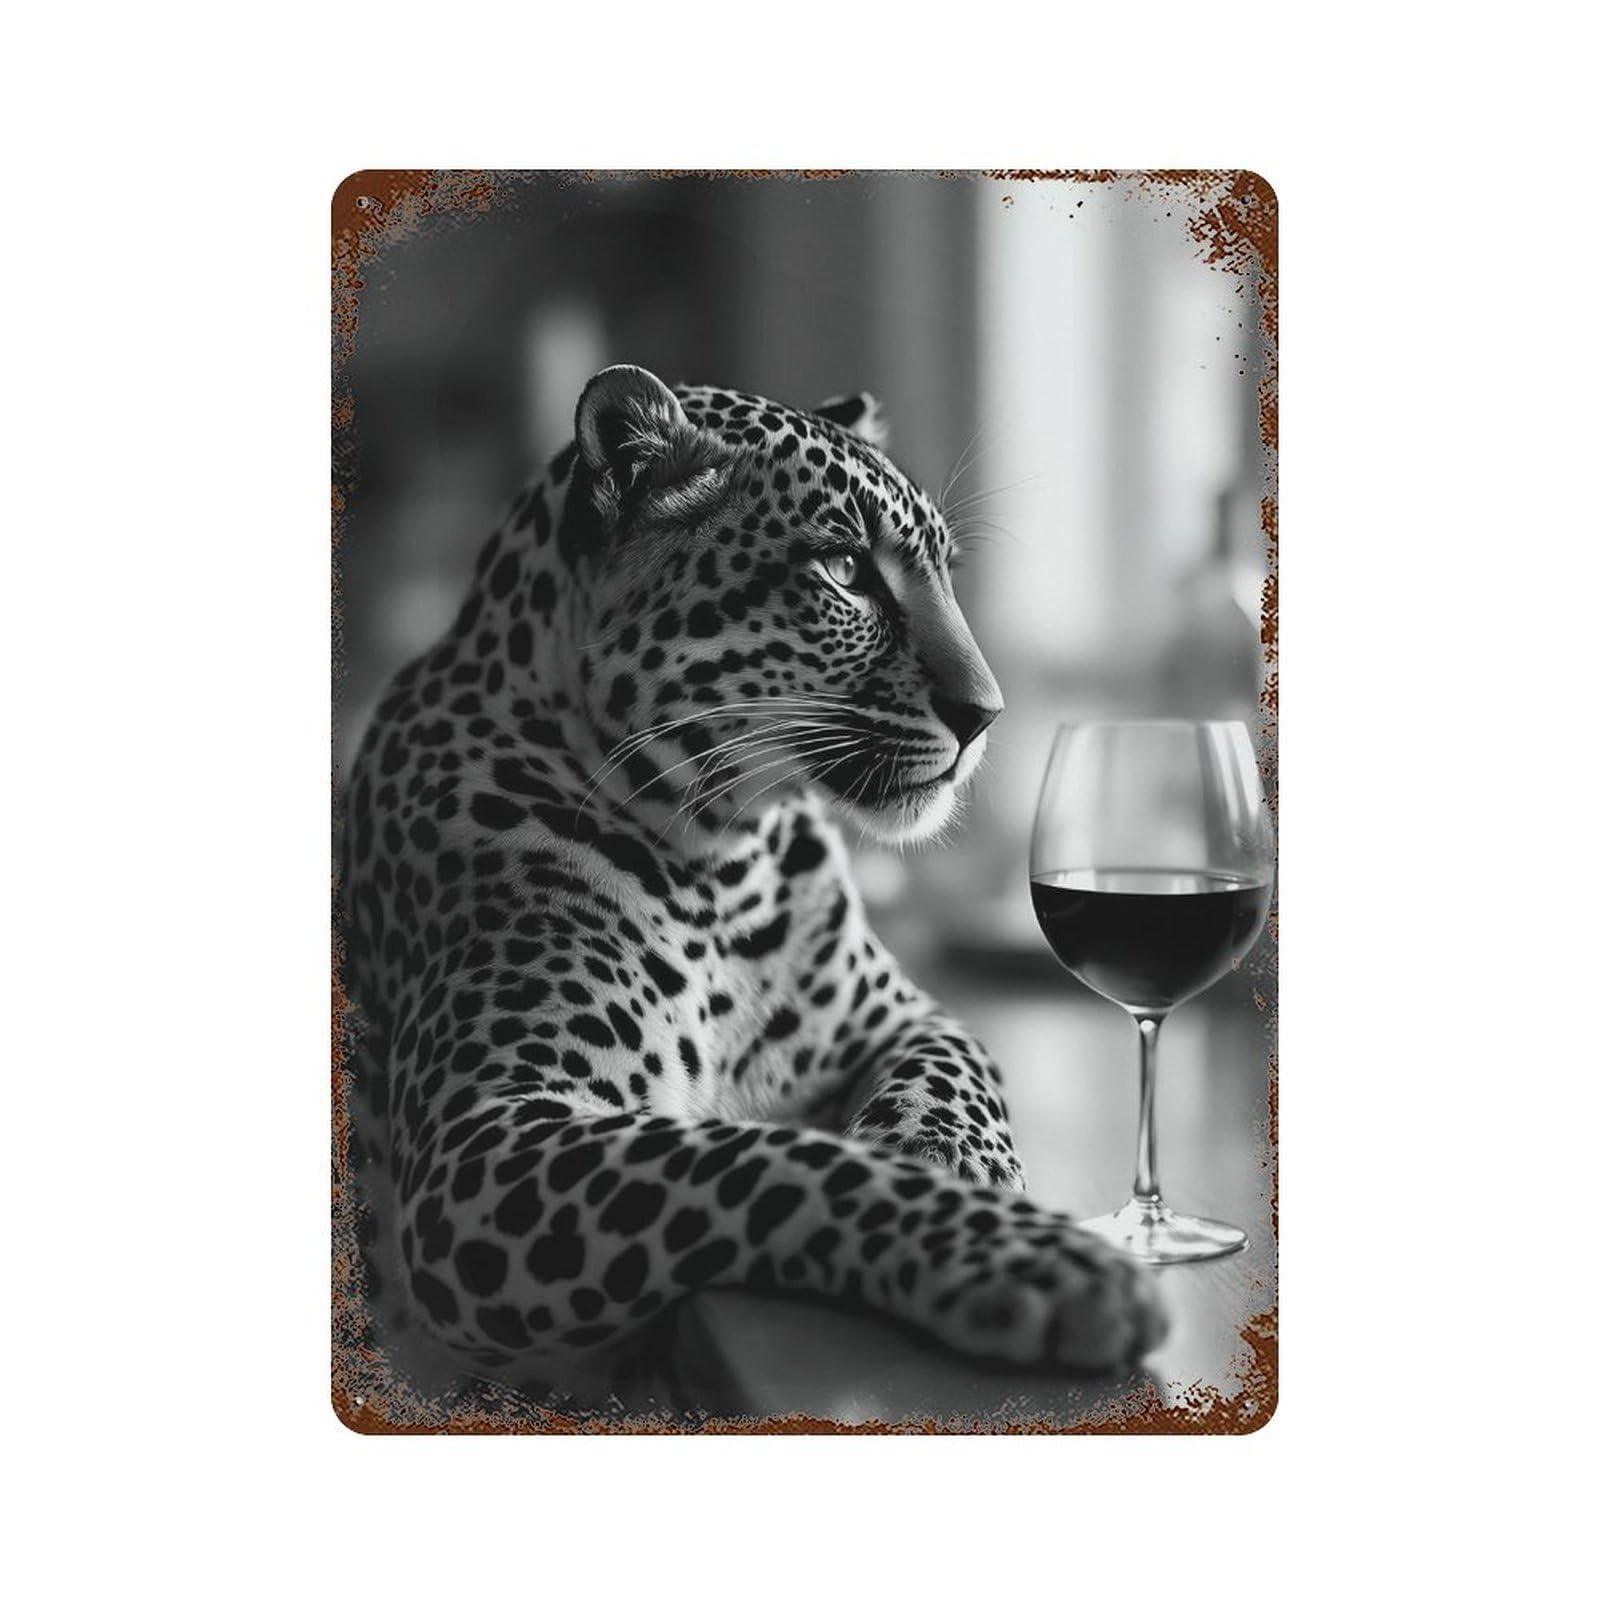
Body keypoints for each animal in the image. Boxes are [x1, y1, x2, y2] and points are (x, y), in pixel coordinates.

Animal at [338, 364, 1167, 1396]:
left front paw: (945, 1154)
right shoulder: (481, 1145)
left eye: (946, 571)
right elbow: (775, 1159)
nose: (987, 714)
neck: (722, 867)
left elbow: (961, 1073)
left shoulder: (904, 1014)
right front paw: (1035, 1258)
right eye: (845, 570)